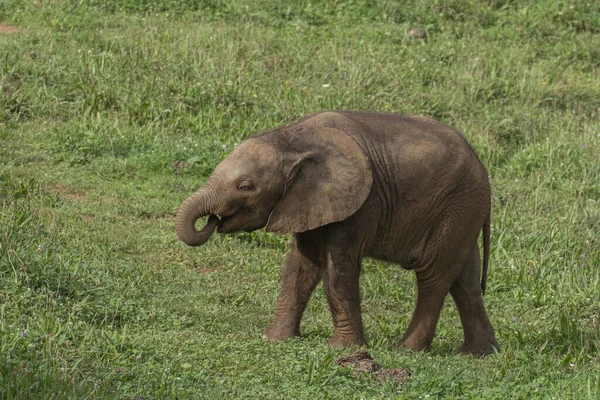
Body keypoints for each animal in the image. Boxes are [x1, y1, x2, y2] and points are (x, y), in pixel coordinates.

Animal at [176, 111, 500, 354]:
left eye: (245, 186)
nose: (213, 220)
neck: (292, 137)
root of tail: (483, 170)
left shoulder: (362, 200)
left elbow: (339, 268)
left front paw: (342, 349)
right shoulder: (306, 200)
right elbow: (301, 266)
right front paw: (275, 340)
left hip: (456, 206)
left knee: (433, 277)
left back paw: (406, 350)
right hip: (462, 212)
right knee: (465, 281)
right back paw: (478, 354)